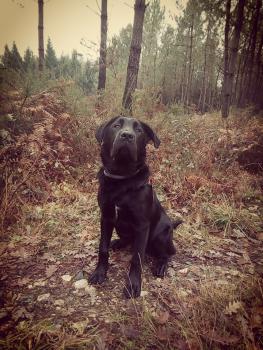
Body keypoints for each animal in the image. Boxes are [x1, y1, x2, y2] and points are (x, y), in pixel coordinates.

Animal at [89, 116, 182, 296]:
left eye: (139, 131)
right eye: (116, 125)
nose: (127, 136)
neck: (122, 178)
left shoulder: (142, 225)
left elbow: (137, 258)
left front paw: (133, 284)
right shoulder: (106, 217)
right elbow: (102, 248)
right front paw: (99, 273)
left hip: (160, 235)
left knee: (167, 254)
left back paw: (161, 266)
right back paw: (118, 243)